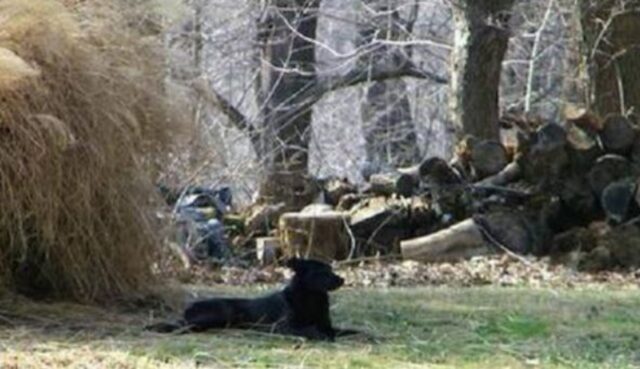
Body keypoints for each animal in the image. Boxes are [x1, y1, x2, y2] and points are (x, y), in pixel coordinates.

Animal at [149, 256, 360, 340]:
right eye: (321, 272)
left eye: (330, 269)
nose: (342, 279)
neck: (311, 299)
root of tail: (188, 307)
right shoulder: (283, 327)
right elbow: (310, 329)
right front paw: (322, 336)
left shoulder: (329, 325)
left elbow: (352, 330)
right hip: (222, 312)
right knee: (183, 326)